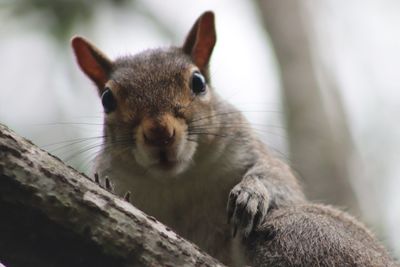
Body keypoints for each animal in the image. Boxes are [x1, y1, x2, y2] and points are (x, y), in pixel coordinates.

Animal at [71, 11, 396, 267]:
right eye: (107, 99)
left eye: (198, 82)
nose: (159, 133)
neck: (176, 179)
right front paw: (104, 186)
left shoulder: (247, 147)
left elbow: (278, 179)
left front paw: (251, 192)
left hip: (304, 232)